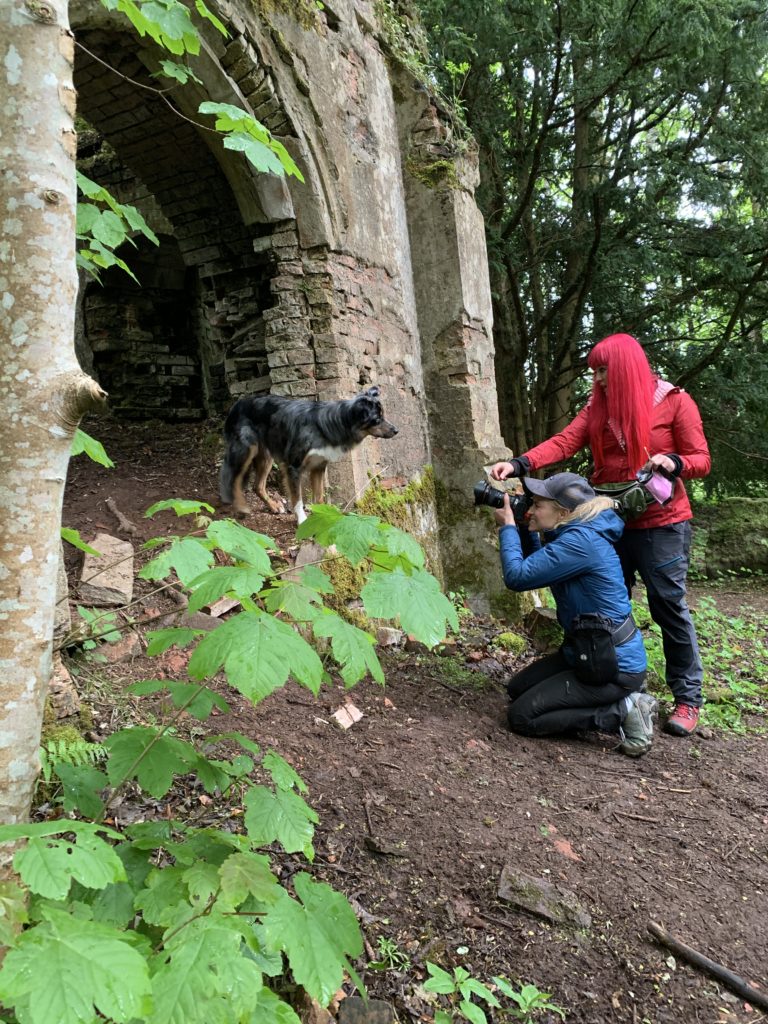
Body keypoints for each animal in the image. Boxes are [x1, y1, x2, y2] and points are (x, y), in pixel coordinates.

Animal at [217, 387, 397, 524]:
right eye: (377, 419)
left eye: (383, 415)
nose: (396, 430)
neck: (332, 424)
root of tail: (237, 404)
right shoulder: (293, 467)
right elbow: (297, 499)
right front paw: (302, 520)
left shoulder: (318, 466)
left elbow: (319, 497)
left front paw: (321, 515)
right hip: (246, 451)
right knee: (233, 479)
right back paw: (241, 506)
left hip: (266, 456)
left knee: (257, 486)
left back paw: (274, 506)